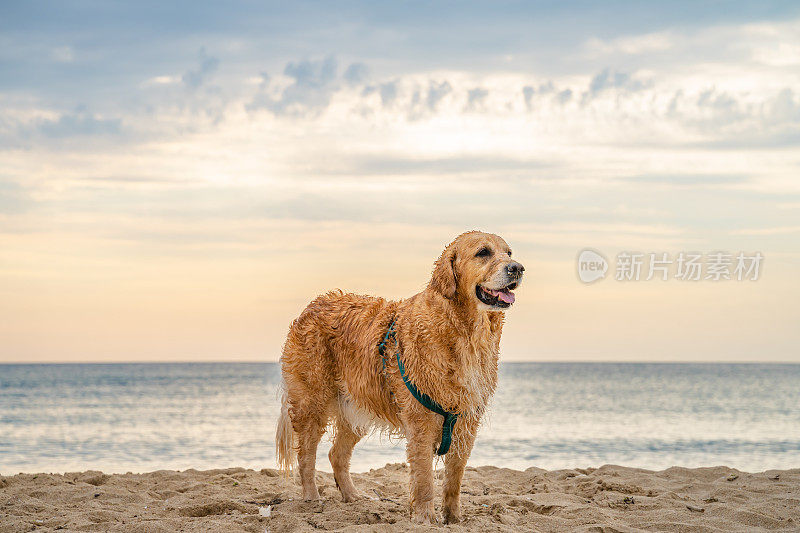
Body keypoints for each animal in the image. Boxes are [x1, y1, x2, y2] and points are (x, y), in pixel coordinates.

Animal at [276, 231, 524, 520]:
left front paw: (453, 518)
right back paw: (312, 498)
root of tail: (313, 304)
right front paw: (426, 517)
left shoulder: (465, 422)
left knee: (336, 455)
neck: (465, 333)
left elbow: (454, 479)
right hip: (312, 402)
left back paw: (353, 497)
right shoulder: (421, 420)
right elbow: (425, 479)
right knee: (306, 455)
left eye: (508, 252)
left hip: (357, 406)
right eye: (483, 252)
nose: (517, 268)